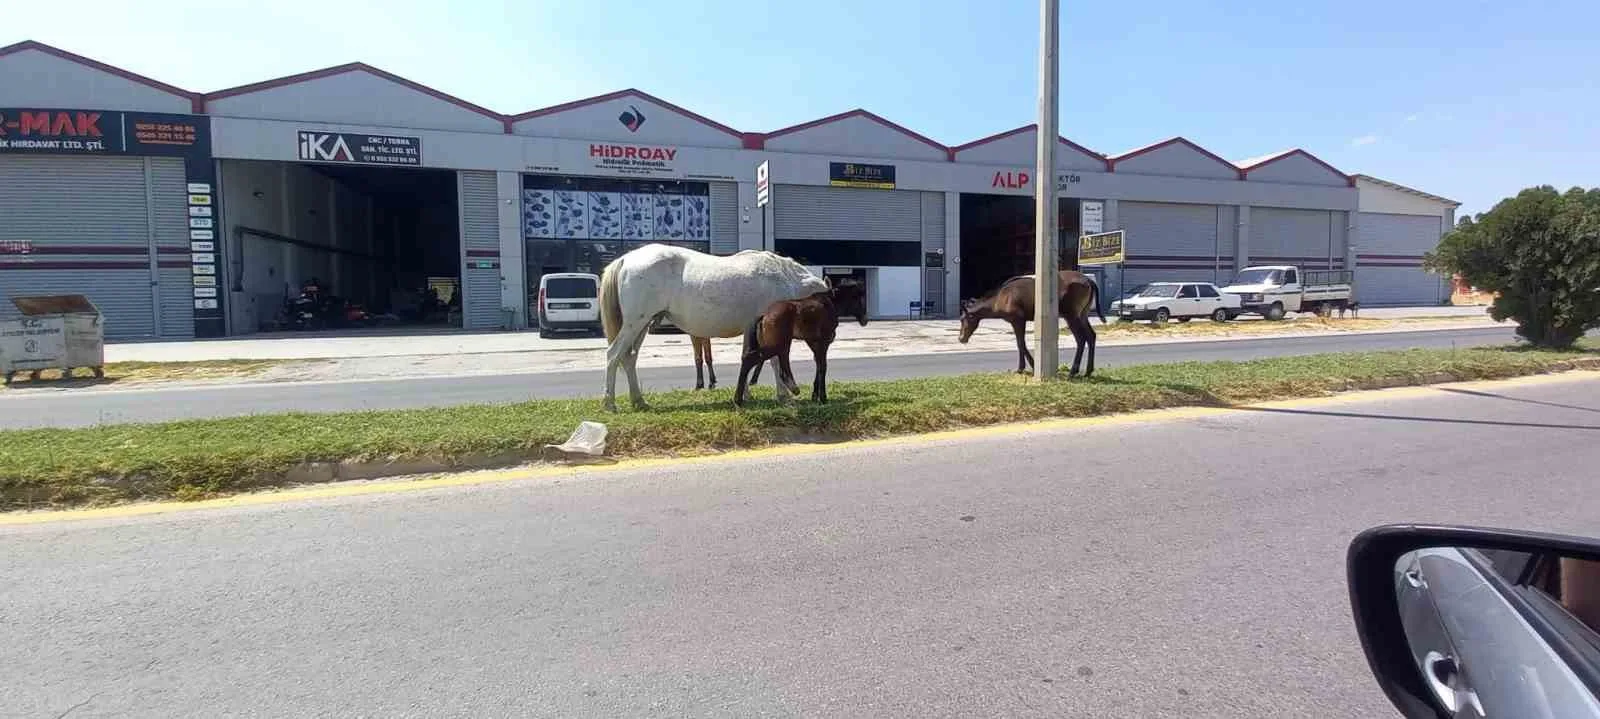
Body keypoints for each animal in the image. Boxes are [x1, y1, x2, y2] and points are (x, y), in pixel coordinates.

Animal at [601, 241, 825, 409]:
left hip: (642, 325)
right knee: (613, 355)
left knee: (629, 358)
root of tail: (626, 259)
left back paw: (638, 401)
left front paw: (746, 394)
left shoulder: (750, 329)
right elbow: (775, 360)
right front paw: (783, 395)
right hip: (634, 323)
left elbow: (748, 357)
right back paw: (610, 403)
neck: (783, 279)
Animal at [732, 278, 870, 403]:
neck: (830, 303)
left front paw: (814, 396)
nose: (865, 320)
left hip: (782, 344)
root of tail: (764, 316)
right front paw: (823, 398)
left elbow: (818, 364)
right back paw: (738, 399)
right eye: (858, 298)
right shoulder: (824, 342)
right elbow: (823, 366)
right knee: (750, 359)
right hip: (779, 344)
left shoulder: (812, 342)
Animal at [953, 270, 1107, 374]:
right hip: (1083, 314)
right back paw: (1088, 371)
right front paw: (1029, 366)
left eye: (963, 319)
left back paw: (1073, 371)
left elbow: (1021, 343)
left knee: (1081, 339)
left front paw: (1025, 367)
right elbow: (1021, 343)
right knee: (1091, 336)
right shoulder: (1017, 321)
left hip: (1071, 315)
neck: (999, 300)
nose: (961, 338)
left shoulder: (1018, 319)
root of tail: (1089, 281)